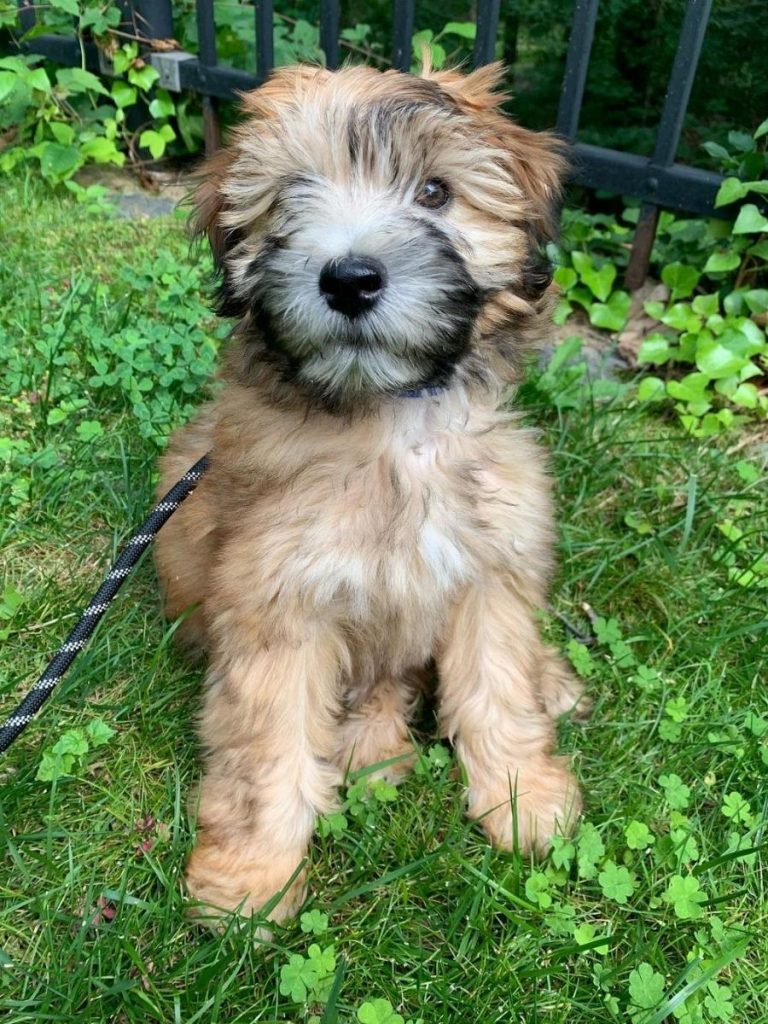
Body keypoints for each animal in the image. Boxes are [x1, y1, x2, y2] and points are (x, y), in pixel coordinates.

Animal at [157, 61, 589, 929]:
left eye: (435, 192)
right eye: (290, 197)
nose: (351, 278)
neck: (390, 425)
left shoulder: (490, 567)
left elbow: (497, 689)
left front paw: (524, 800)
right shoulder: (277, 605)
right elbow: (267, 750)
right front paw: (251, 879)